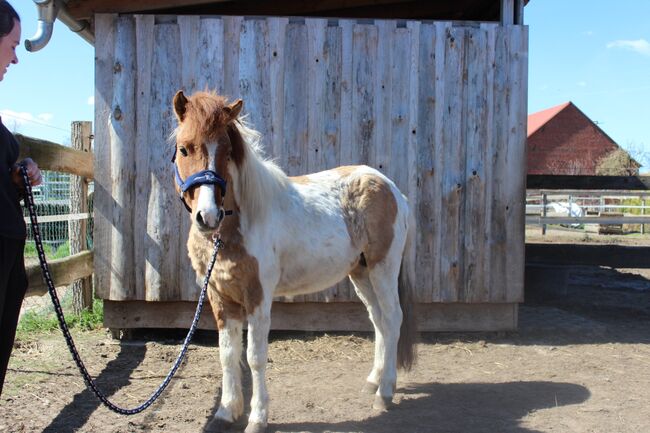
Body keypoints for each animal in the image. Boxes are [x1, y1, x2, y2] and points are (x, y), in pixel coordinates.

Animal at [171, 89, 417, 433]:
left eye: (228, 152)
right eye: (184, 148)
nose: (208, 216)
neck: (235, 228)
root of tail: (392, 189)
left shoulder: (258, 297)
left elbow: (254, 357)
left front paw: (257, 418)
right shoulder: (220, 299)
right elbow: (227, 355)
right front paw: (225, 412)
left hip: (384, 269)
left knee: (393, 318)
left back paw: (385, 393)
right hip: (362, 273)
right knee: (379, 321)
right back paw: (373, 382)